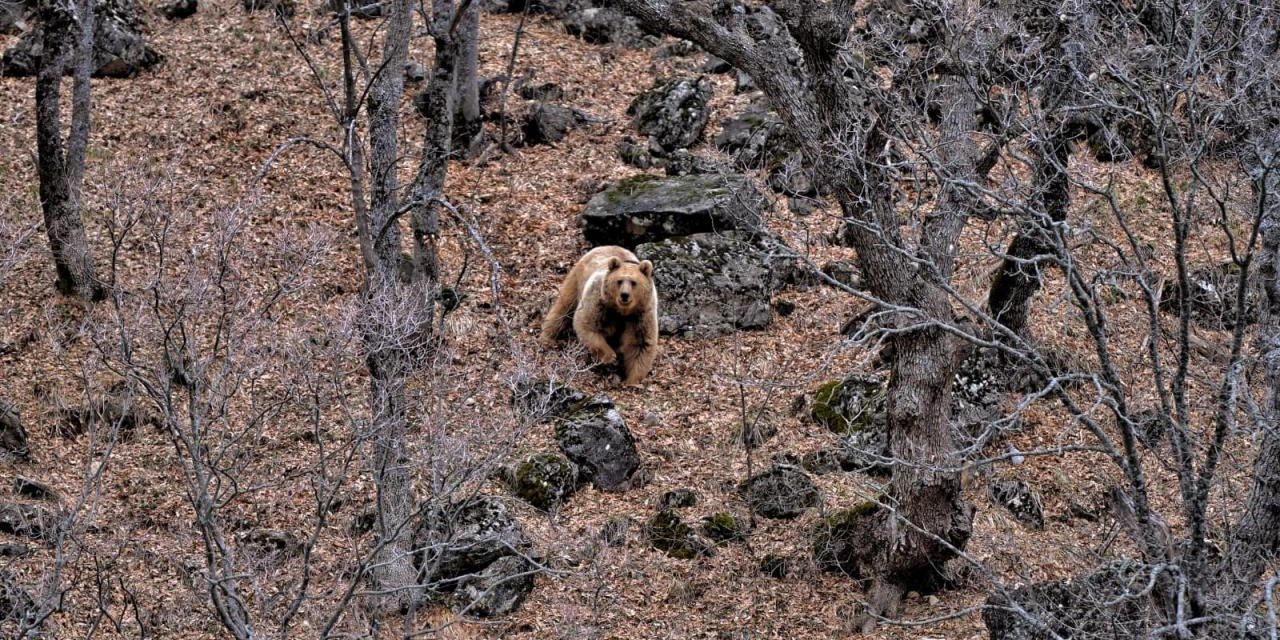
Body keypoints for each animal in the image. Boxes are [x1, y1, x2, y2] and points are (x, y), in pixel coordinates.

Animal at [540, 244, 660, 384]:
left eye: (633, 282)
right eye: (619, 281)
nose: (624, 295)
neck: (622, 311)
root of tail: (604, 246)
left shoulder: (641, 314)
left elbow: (641, 344)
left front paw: (632, 381)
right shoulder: (600, 302)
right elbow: (587, 325)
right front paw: (610, 357)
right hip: (577, 279)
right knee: (563, 308)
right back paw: (548, 338)